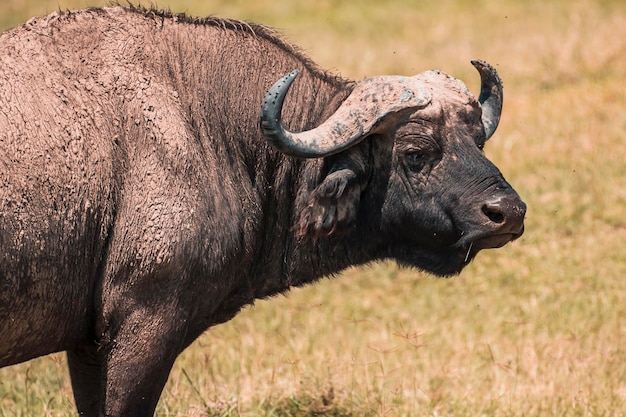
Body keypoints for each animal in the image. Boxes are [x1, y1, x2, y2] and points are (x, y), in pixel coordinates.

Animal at [0, 4, 524, 414]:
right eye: (415, 153)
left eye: (477, 140)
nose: (509, 212)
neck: (208, 127)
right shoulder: (142, 325)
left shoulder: (88, 345)